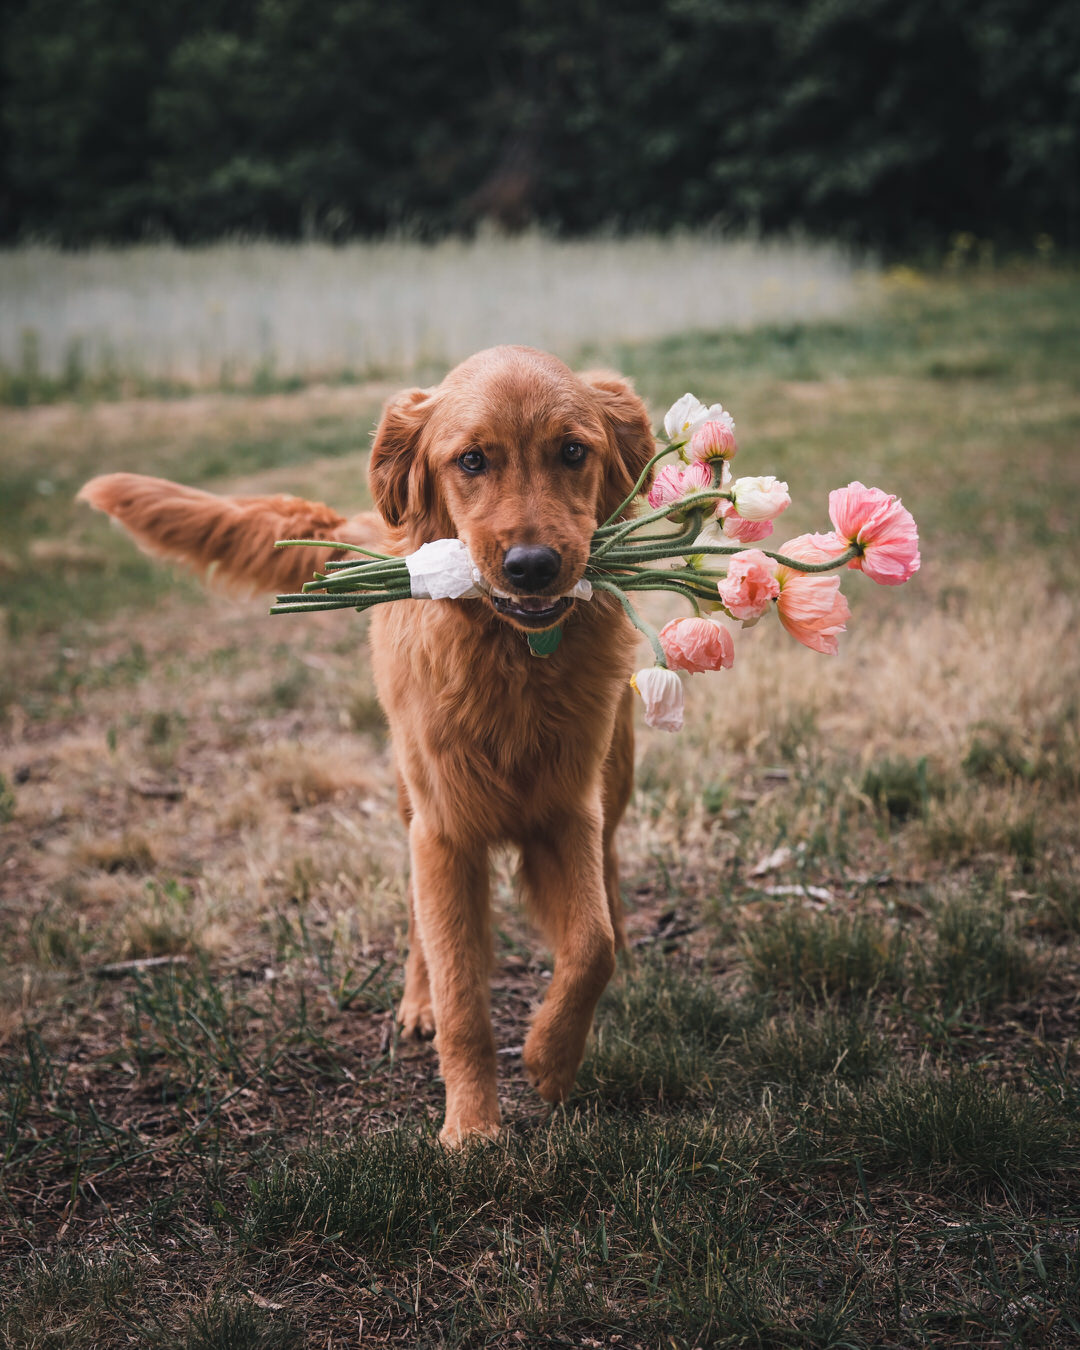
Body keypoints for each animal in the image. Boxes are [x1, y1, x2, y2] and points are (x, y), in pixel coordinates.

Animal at [80, 345, 653, 1139]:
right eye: (471, 460)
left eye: (573, 451)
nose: (533, 566)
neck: (510, 661)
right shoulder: (445, 829)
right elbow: (462, 997)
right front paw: (472, 1129)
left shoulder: (569, 810)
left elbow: (590, 946)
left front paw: (549, 1059)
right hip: (414, 802)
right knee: (422, 927)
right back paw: (417, 1003)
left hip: (614, 776)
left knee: (610, 877)